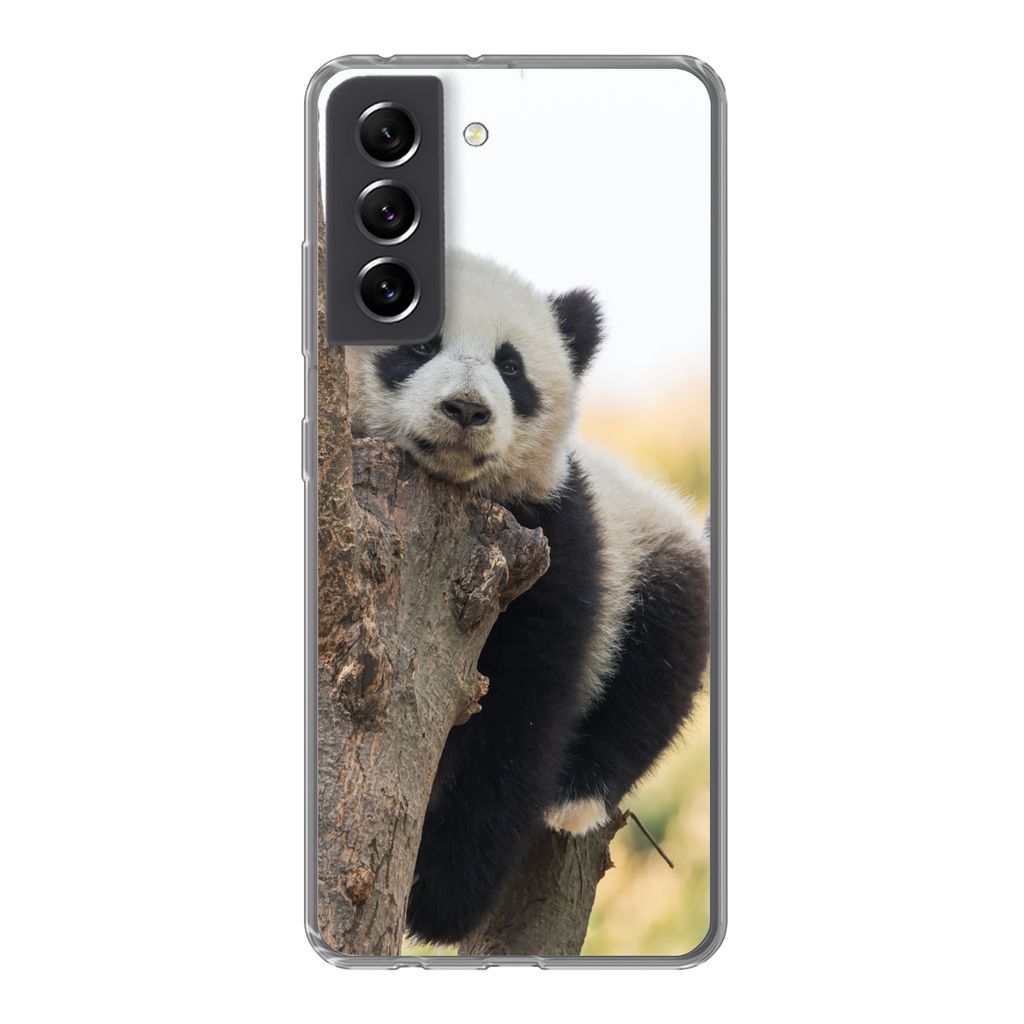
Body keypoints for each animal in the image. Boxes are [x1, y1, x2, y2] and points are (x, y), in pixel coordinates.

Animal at [345, 250, 711, 946]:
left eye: (510, 366)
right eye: (421, 344)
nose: (466, 409)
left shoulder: (554, 536)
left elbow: (525, 704)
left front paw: (438, 898)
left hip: (651, 549)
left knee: (661, 661)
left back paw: (577, 795)